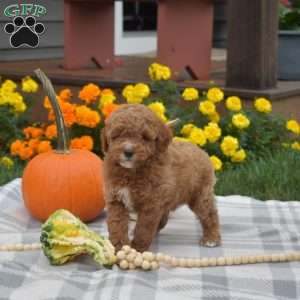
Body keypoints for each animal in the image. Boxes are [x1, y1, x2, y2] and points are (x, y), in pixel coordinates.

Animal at [102, 104, 221, 252]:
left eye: (145, 137)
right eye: (117, 135)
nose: (128, 152)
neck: (132, 171)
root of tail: (202, 151)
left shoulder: (151, 203)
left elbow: (144, 228)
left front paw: (137, 248)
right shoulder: (116, 198)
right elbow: (116, 223)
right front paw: (119, 246)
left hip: (200, 194)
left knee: (209, 214)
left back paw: (211, 238)